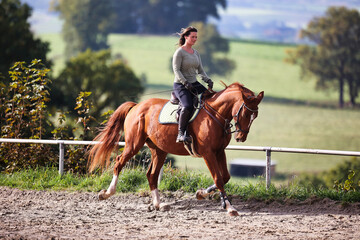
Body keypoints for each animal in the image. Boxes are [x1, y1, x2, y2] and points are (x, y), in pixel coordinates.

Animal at [87, 82, 262, 216]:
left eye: (255, 116)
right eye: (245, 113)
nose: (241, 137)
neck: (216, 115)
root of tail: (136, 106)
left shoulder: (219, 151)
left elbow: (225, 177)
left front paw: (202, 194)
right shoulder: (208, 153)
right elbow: (219, 179)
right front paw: (230, 208)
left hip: (159, 150)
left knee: (151, 175)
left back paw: (158, 204)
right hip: (133, 145)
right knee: (119, 163)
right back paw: (107, 193)